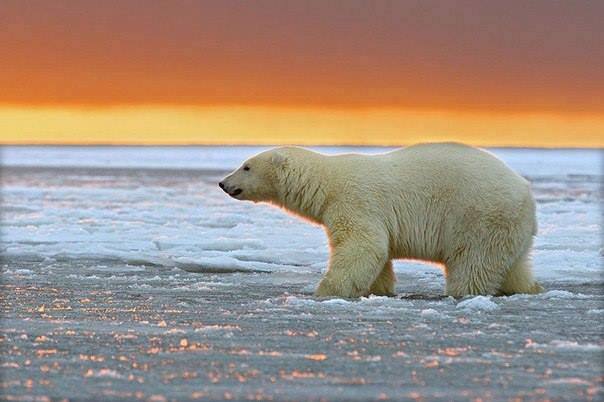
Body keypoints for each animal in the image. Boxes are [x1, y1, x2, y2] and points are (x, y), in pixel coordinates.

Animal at [218, 143, 544, 296]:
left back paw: (463, 291)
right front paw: (378, 289)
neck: (327, 181)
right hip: (510, 227)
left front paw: (326, 290)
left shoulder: (355, 201)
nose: (223, 183)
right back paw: (527, 288)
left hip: (479, 216)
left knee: (473, 264)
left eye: (246, 166)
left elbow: (362, 246)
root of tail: (526, 192)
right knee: (514, 265)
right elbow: (379, 255)